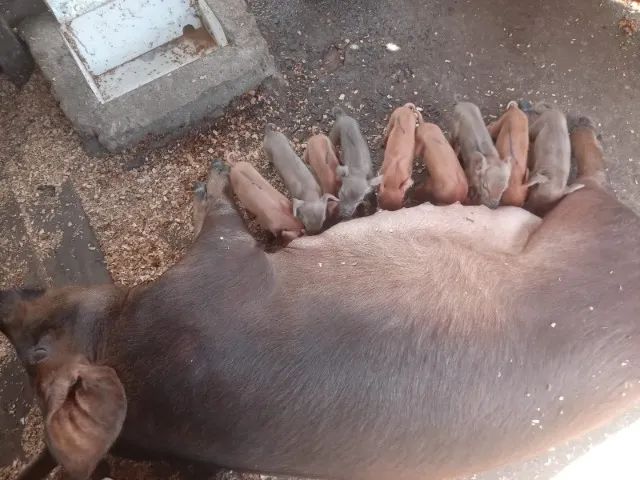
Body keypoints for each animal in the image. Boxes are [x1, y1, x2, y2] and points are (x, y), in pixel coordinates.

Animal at [2, 117, 640, 480]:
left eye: (35, 350)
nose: (5, 298)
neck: (126, 344)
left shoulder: (212, 271)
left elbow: (217, 214)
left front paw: (213, 173)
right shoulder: (213, 274)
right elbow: (220, 217)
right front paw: (215, 175)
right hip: (595, 219)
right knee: (595, 183)